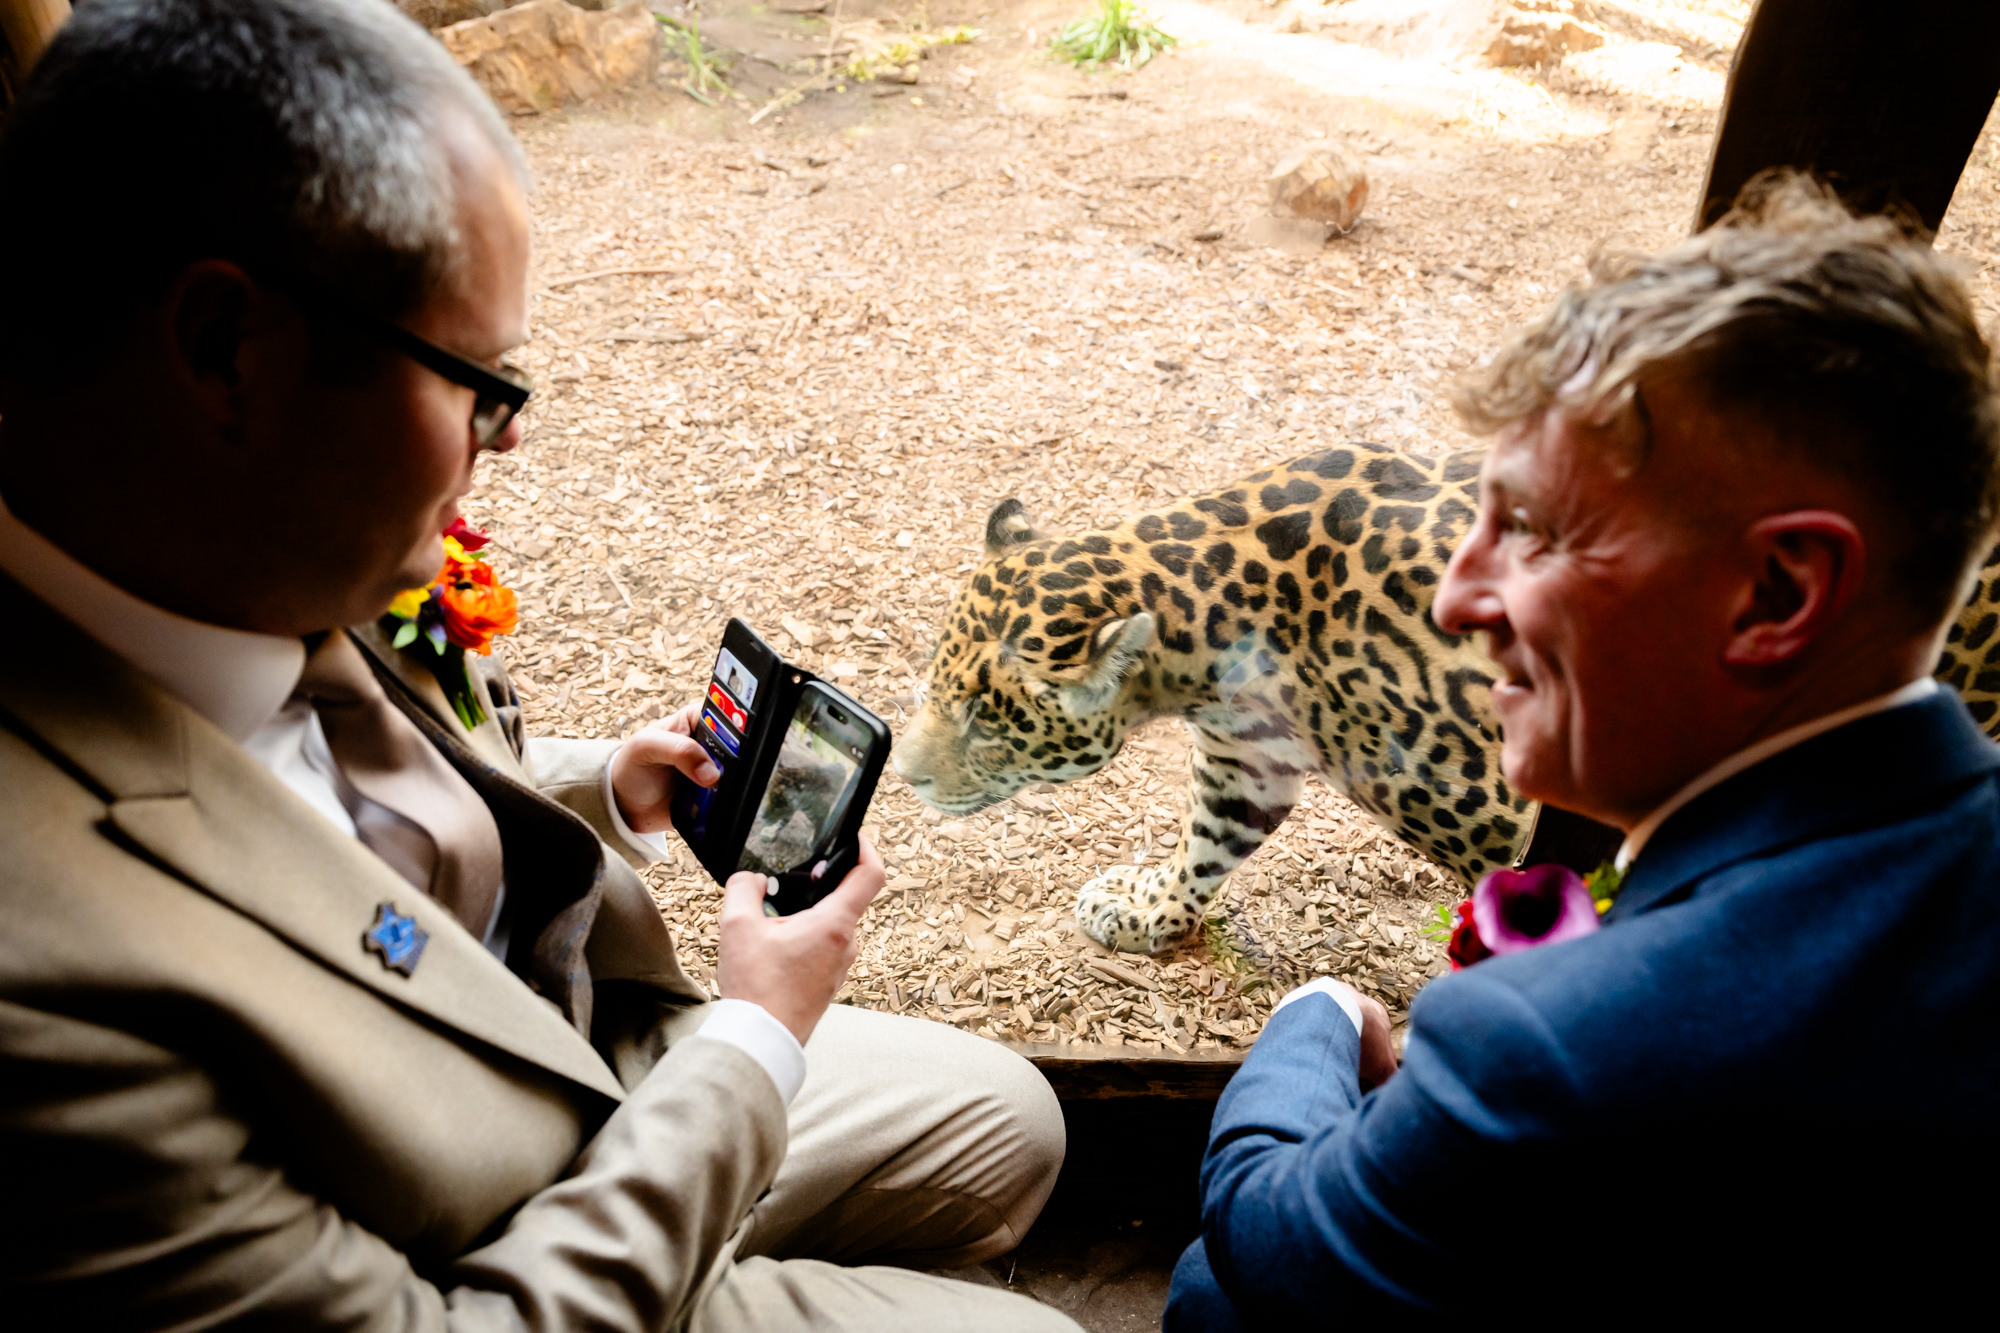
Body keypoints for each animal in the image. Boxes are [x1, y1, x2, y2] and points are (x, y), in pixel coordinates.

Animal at [891, 440, 2000, 955]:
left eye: (987, 721)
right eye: (939, 686)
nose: (904, 777)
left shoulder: (1500, 816)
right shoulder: (1247, 760)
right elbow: (1205, 843)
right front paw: (1145, 907)